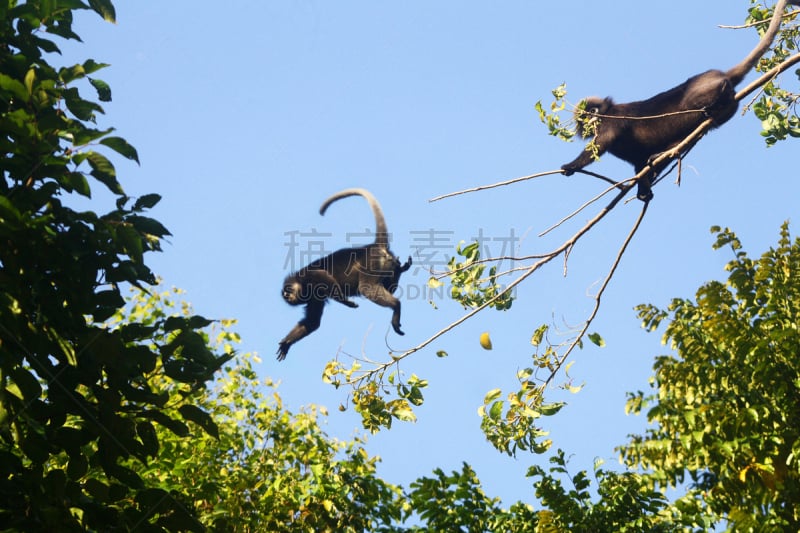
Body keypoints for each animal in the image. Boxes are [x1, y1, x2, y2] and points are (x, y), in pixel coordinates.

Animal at [276, 188, 412, 362]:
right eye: (285, 296)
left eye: (288, 291)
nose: (287, 296)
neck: (302, 284)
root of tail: (372, 247)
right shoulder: (314, 298)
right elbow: (312, 322)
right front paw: (287, 343)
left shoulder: (308, 277)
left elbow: (322, 275)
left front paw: (346, 301)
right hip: (386, 266)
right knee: (389, 286)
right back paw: (401, 270)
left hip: (370, 263)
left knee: (366, 288)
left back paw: (396, 305)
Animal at [564, 0, 800, 200]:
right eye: (584, 118)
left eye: (593, 112)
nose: (591, 119)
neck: (606, 113)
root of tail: (721, 75)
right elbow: (639, 165)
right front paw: (644, 189)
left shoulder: (611, 120)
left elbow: (601, 144)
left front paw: (570, 166)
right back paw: (664, 153)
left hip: (701, 90)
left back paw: (718, 93)